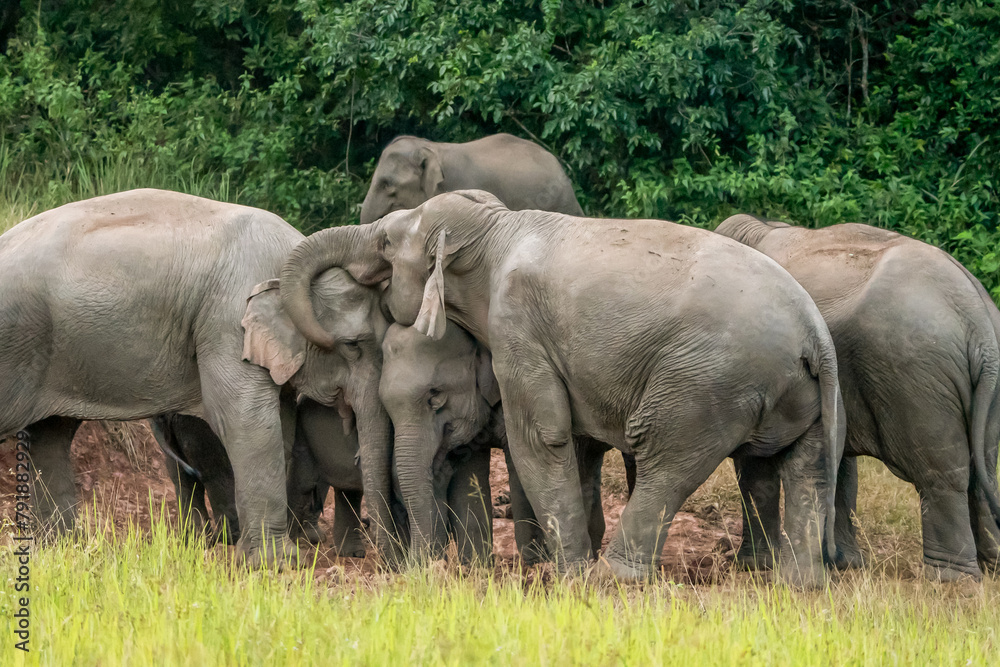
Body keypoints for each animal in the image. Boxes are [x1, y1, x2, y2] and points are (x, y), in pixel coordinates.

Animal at [0, 189, 394, 564]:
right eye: (352, 345)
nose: (380, 557)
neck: (293, 256)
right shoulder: (227, 320)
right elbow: (244, 419)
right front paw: (278, 563)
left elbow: (278, 426)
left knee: (50, 436)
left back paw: (65, 549)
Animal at [379, 320, 613, 565]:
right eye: (383, 405)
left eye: (435, 396)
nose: (425, 564)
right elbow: (470, 476)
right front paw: (475, 565)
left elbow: (521, 469)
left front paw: (533, 563)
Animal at [715, 215, 1000, 581]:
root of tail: (976, 315)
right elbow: (840, 469)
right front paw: (844, 563)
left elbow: (755, 466)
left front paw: (753, 567)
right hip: (982, 388)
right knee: (983, 468)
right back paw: (990, 567)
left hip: (918, 377)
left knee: (942, 474)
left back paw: (949, 580)